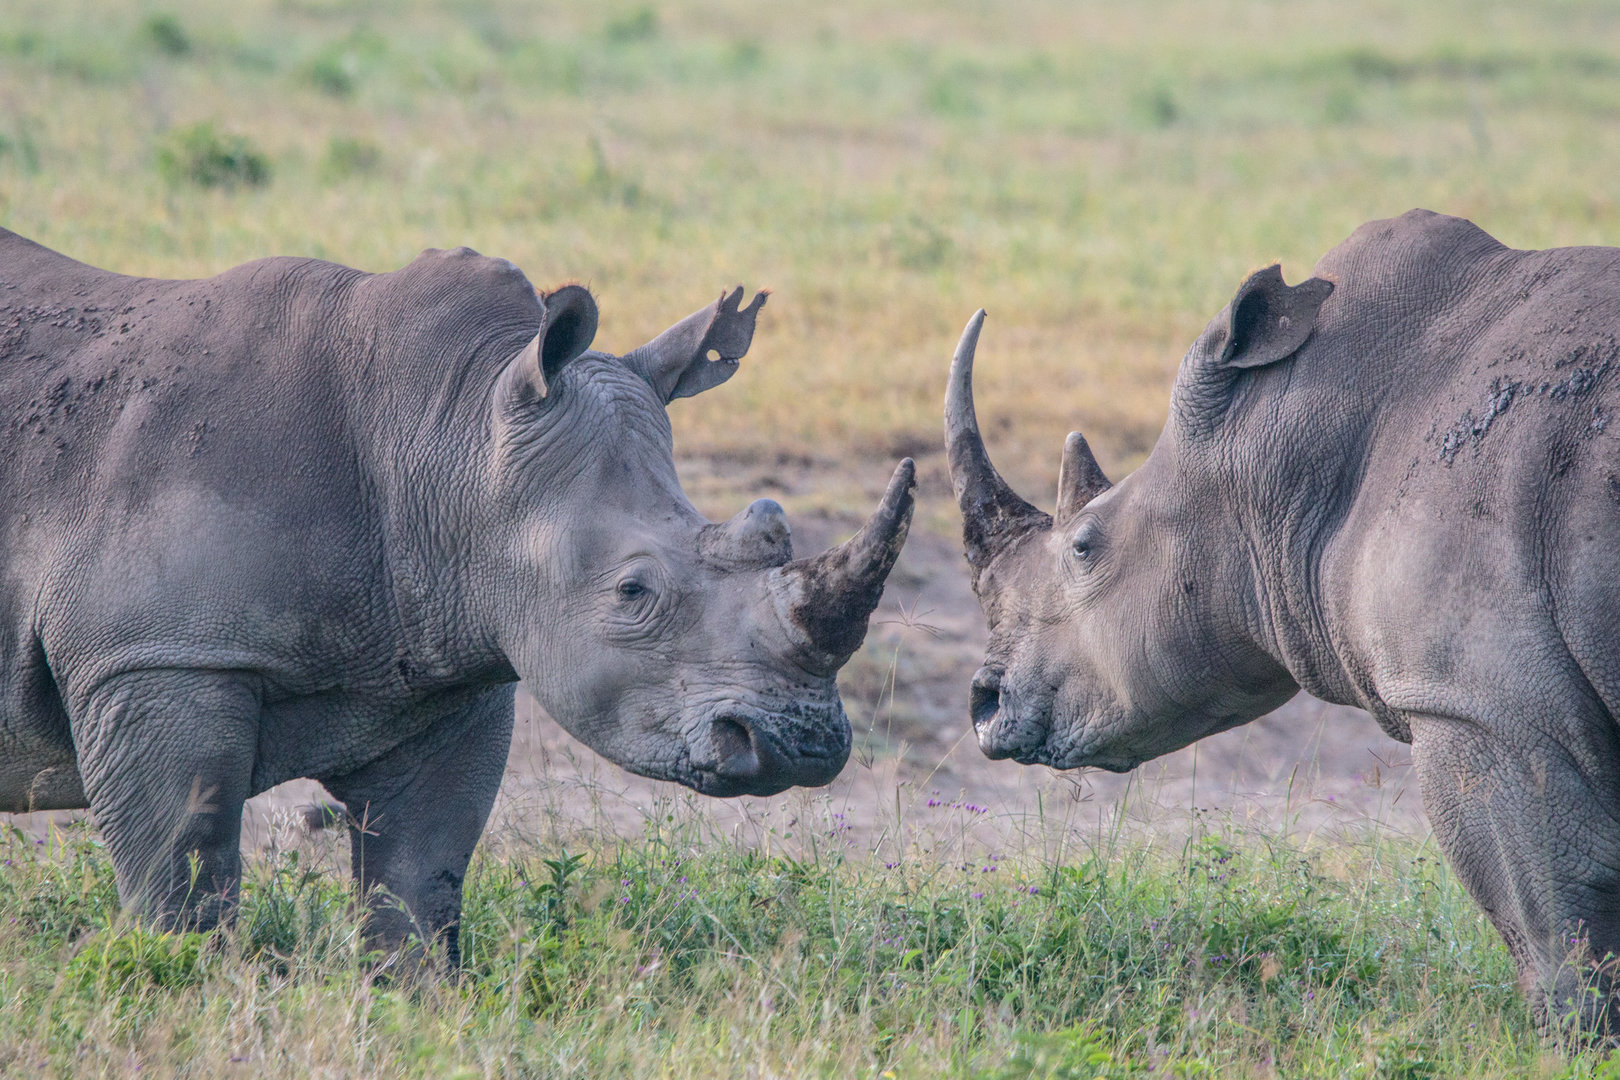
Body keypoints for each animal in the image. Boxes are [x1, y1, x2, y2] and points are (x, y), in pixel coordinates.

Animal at [0, 229, 915, 959]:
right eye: (632, 591)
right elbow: (182, 879)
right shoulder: (158, 657)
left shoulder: (447, 661)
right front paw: (191, 988)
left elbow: (421, 882)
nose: (802, 745)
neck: (445, 430)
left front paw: (412, 1010)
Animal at [945, 209, 1620, 1030]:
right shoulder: (1505, 703)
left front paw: (1575, 1044)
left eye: (1084, 547)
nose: (983, 703)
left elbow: (1559, 946)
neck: (1285, 450)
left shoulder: (1489, 709)